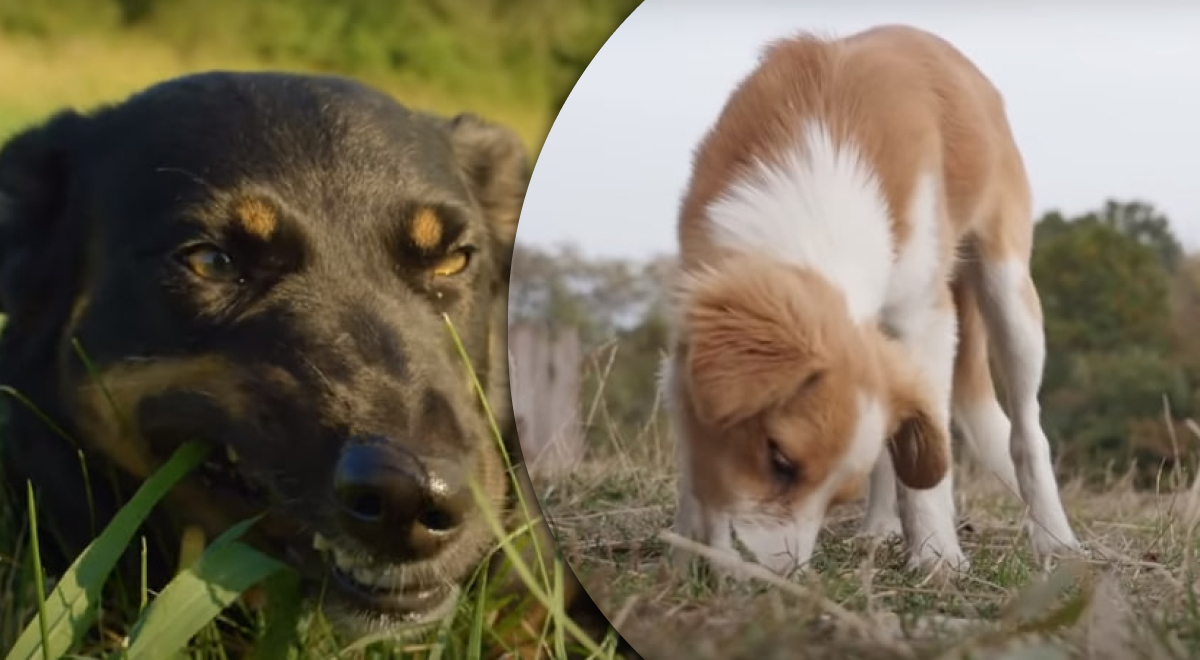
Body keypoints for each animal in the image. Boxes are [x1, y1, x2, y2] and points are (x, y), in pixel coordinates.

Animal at [662, 24, 1084, 573]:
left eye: (833, 497)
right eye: (779, 460)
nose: (777, 580)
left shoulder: (926, 320)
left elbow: (928, 472)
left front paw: (937, 555)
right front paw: (688, 548)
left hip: (1008, 291)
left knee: (1026, 429)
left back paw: (1054, 538)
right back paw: (880, 528)